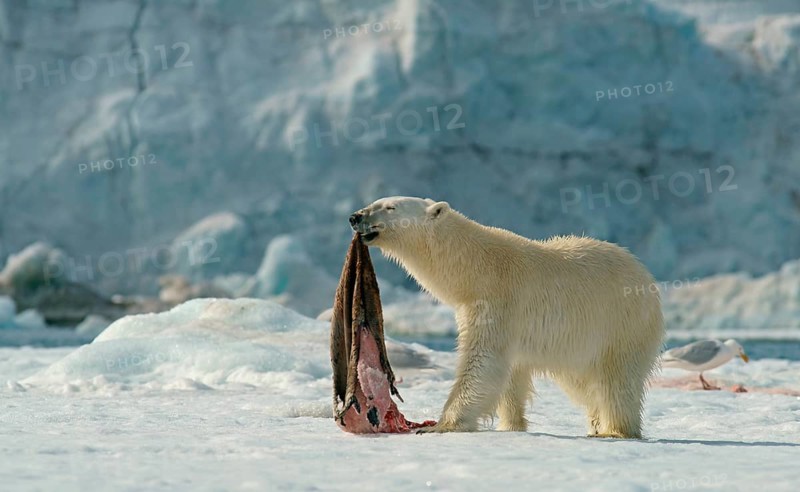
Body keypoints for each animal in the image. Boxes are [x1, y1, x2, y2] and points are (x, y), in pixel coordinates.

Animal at [349, 196, 664, 438]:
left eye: (390, 206)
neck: (475, 268)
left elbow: (482, 361)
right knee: (582, 382)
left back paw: (615, 430)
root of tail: (646, 278)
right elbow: (511, 374)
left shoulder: (497, 301)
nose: (355, 216)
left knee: (616, 379)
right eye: (376, 202)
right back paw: (597, 423)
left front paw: (439, 425)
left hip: (620, 324)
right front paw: (510, 426)